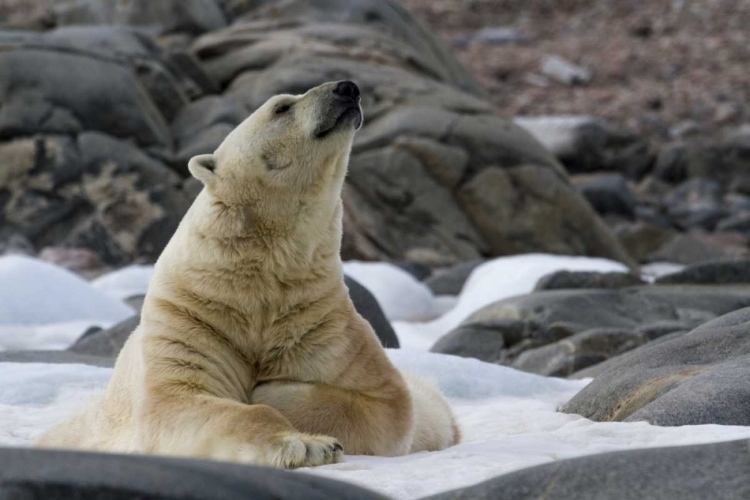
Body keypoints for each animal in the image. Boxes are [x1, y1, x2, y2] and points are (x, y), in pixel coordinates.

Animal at [38, 80, 462, 466]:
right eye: (281, 106)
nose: (348, 88)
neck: (257, 281)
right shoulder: (192, 319)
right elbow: (181, 401)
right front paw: (306, 445)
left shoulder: (320, 322)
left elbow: (388, 401)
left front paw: (272, 390)